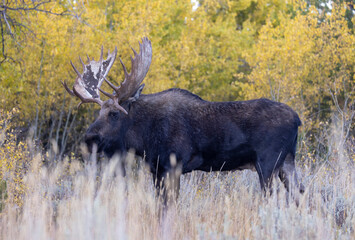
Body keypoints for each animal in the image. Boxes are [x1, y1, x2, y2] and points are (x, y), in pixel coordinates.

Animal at [62, 37, 306, 204]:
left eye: (114, 114)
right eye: (97, 113)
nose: (89, 138)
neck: (144, 138)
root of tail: (297, 119)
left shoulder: (173, 165)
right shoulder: (157, 169)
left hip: (268, 162)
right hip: (287, 161)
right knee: (301, 193)